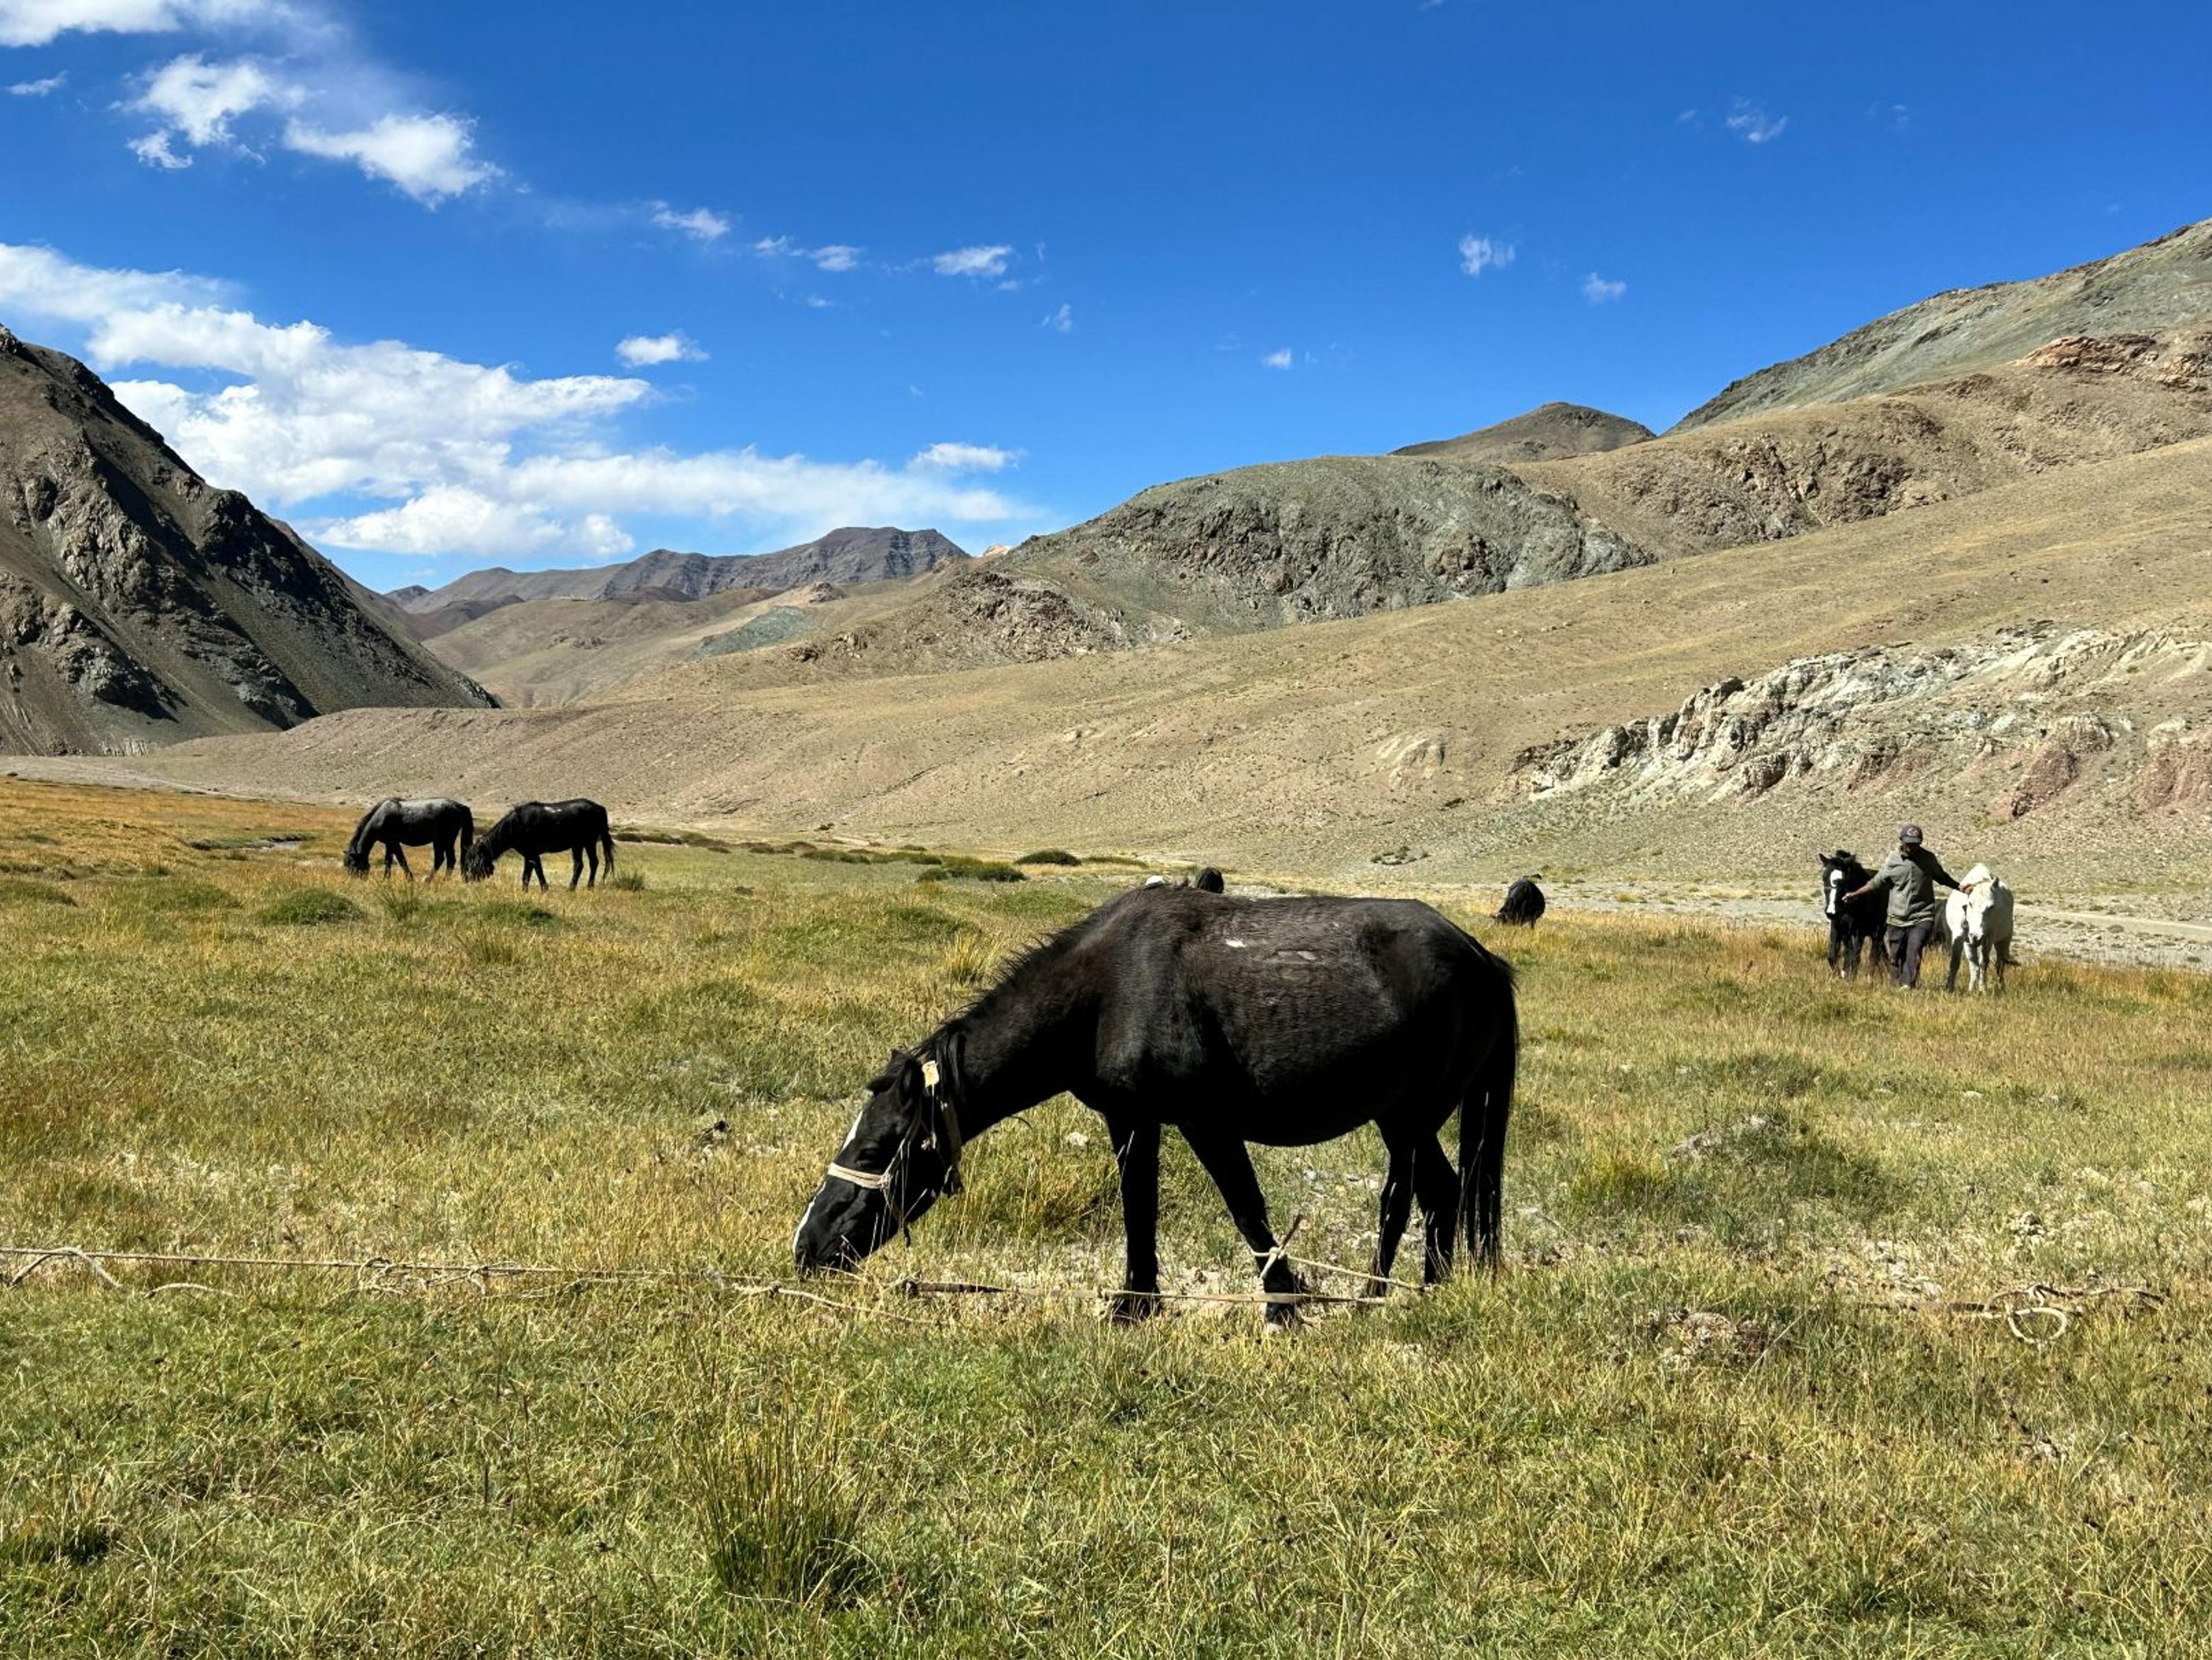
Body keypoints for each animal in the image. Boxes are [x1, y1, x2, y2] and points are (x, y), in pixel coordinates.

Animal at [342, 798, 474, 880]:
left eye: (353, 865)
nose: (356, 881)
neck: (380, 818)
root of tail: (459, 806)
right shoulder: (389, 844)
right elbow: (389, 861)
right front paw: (386, 879)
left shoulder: (394, 842)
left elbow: (401, 861)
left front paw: (409, 879)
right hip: (439, 841)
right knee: (441, 859)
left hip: (446, 840)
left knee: (450, 860)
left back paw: (441, 881)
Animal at [463, 799, 615, 890]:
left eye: (474, 861)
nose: (468, 880)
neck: (515, 826)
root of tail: (599, 808)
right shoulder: (528, 855)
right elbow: (528, 875)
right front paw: (527, 891)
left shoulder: (533, 854)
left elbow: (536, 872)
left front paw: (543, 890)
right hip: (578, 845)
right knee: (582, 864)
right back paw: (574, 888)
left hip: (587, 843)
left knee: (591, 863)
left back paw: (584, 887)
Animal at [792, 881, 1519, 1326]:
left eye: (876, 1149)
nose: (808, 1243)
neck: (1105, 993)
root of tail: (1484, 958)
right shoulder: (1131, 1119)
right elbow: (1138, 1207)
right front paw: (1134, 1303)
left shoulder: (1204, 1123)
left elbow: (1246, 1209)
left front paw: (1283, 1303)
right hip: (1403, 1120)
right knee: (1436, 1195)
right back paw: (1412, 1292)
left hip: (1408, 1118)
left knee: (1416, 1196)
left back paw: (1384, 1296)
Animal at [1818, 849, 1887, 978]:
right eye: (1824, 878)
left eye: (1843, 881)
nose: (1831, 912)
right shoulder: (1837, 927)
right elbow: (1833, 956)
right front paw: (1840, 975)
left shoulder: (1860, 931)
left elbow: (1856, 957)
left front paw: (1851, 978)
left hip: (1878, 931)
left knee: (1874, 954)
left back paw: (1870, 977)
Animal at [1944, 863, 2015, 992]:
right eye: (1970, 904)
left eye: (1991, 906)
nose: (1976, 937)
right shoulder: (1960, 937)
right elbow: (1955, 962)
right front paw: (1949, 988)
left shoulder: (1988, 939)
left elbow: (1984, 964)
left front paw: (1983, 989)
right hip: (1969, 943)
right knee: (1974, 966)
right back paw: (1972, 988)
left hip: (2004, 941)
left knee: (2000, 965)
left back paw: (2001, 987)